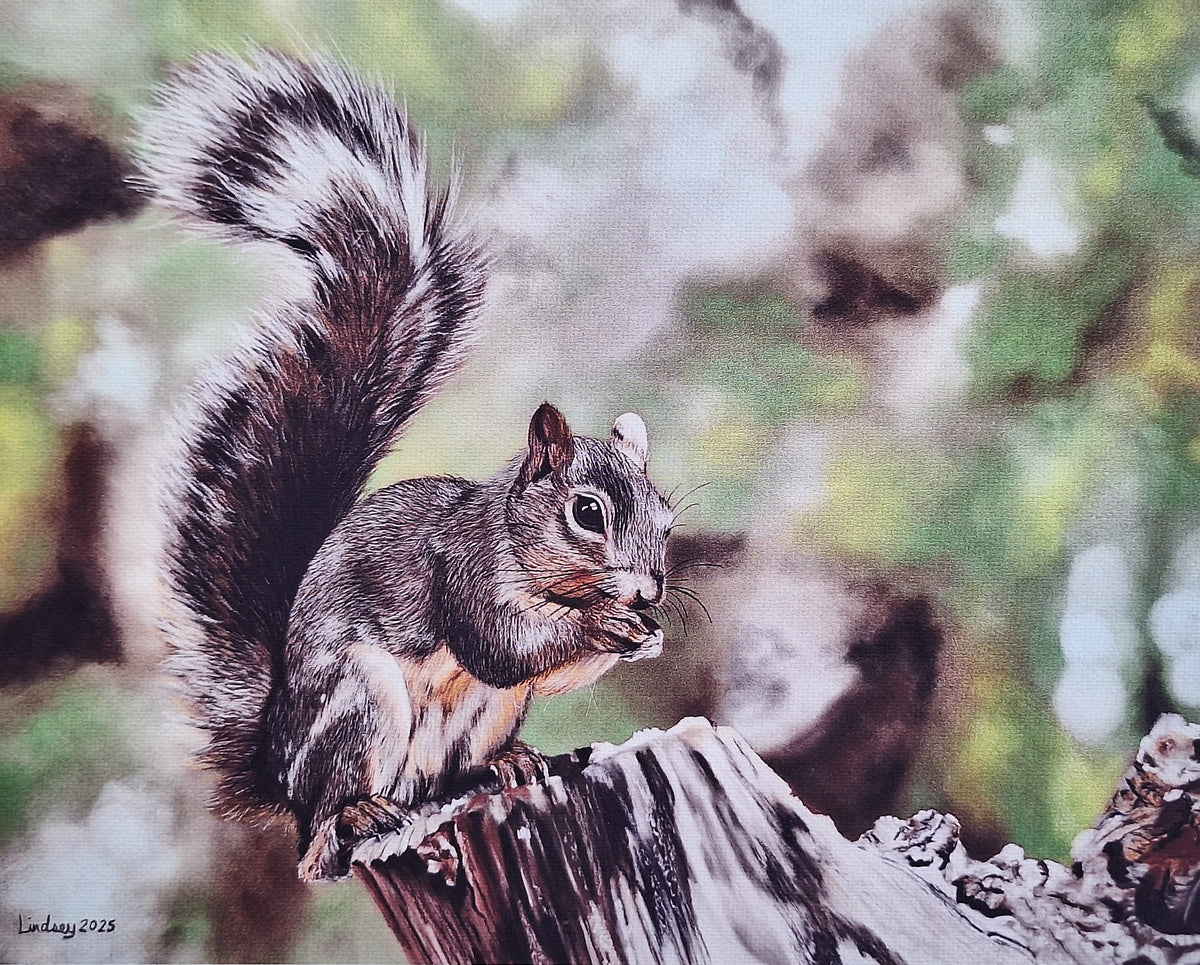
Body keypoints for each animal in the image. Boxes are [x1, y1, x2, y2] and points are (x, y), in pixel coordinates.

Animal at [143, 49, 674, 881]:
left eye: (668, 518)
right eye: (587, 511)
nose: (650, 589)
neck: (526, 552)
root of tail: (280, 764)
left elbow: (535, 664)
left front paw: (642, 633)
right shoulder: (462, 575)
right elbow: (503, 645)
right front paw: (608, 624)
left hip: (486, 714)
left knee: (450, 773)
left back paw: (507, 764)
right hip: (359, 704)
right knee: (320, 837)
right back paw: (353, 812)